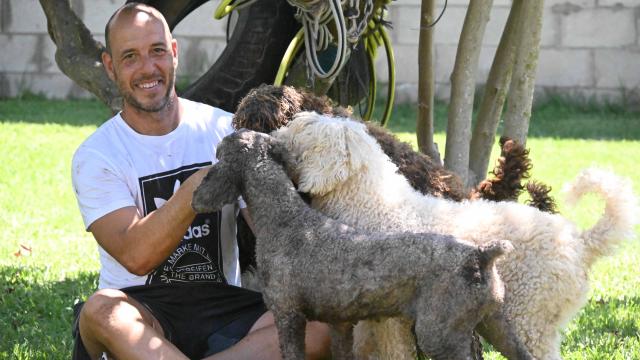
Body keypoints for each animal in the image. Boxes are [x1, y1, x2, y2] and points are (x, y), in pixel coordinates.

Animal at [191, 131, 516, 360]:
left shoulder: (288, 316)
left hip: (440, 335)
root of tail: (480, 255)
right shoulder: (339, 324)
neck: (284, 217)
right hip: (496, 328)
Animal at [272, 112, 636, 360]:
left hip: (530, 318)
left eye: (303, 128)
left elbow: (393, 352)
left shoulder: (391, 320)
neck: (371, 205)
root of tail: (580, 242)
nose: (274, 131)